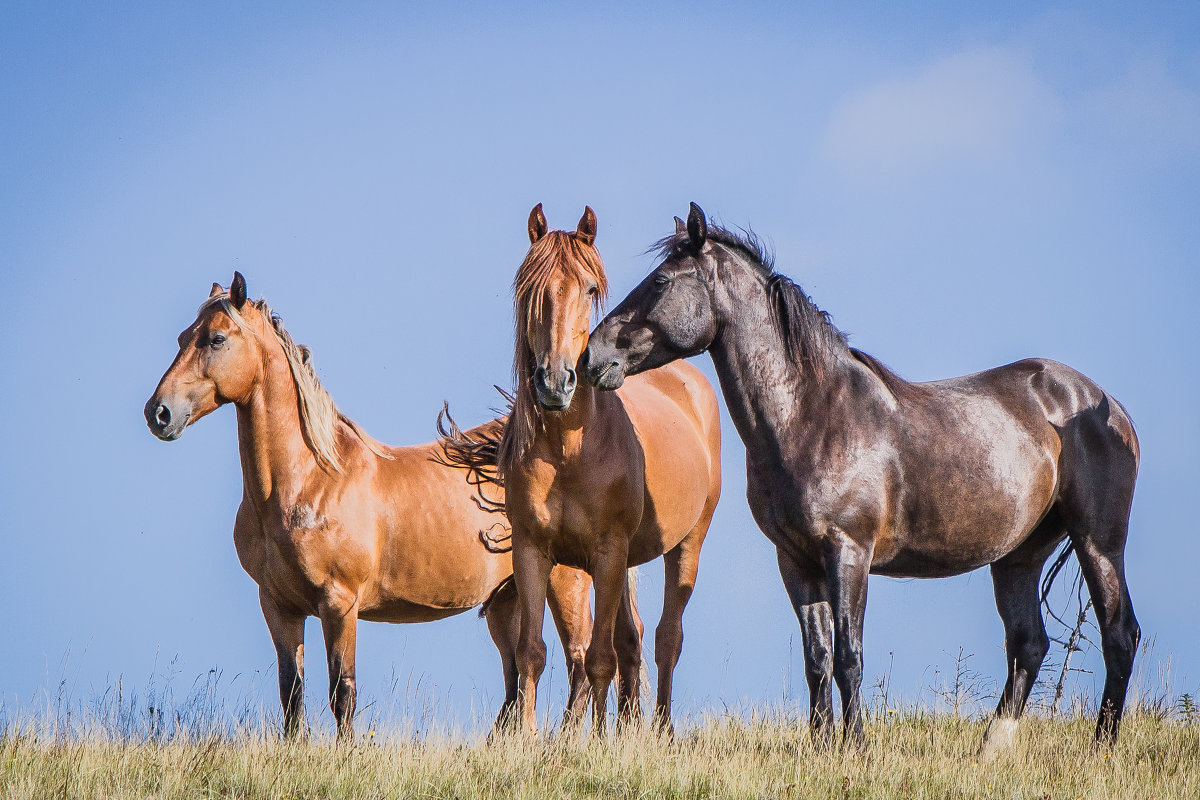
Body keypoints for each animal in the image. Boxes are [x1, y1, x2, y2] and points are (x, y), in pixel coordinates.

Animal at [144, 272, 595, 743]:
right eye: (182, 337)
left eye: (215, 339)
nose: (159, 413)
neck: (308, 483)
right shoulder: (278, 606)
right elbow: (292, 692)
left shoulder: (339, 603)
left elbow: (342, 691)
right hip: (507, 600)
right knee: (516, 679)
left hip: (563, 582)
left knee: (578, 664)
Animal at [480, 206, 715, 738]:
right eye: (530, 287)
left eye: (589, 289)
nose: (555, 381)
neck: (571, 451)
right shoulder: (532, 550)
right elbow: (532, 653)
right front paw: (530, 740)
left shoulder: (608, 552)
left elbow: (598, 660)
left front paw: (597, 742)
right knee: (632, 639)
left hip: (685, 544)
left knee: (666, 638)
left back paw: (661, 730)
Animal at [588, 201, 1142, 758]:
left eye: (661, 281)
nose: (594, 356)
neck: (812, 414)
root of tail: (1104, 403)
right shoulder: (796, 560)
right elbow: (816, 658)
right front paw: (820, 745)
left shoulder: (848, 551)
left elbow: (848, 655)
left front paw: (854, 745)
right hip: (1018, 555)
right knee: (1029, 643)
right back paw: (991, 749)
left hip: (1098, 539)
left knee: (1119, 634)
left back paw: (1103, 745)